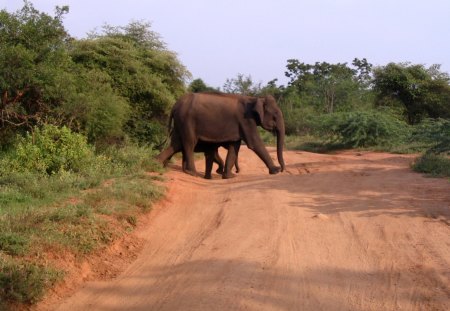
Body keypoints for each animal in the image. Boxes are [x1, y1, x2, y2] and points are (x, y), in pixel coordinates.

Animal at [156, 92, 286, 178]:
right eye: (275, 115)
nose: (282, 169)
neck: (254, 98)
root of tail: (175, 105)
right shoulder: (246, 120)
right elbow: (254, 143)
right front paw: (275, 171)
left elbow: (235, 146)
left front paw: (229, 176)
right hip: (187, 120)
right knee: (189, 143)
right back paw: (193, 173)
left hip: (180, 122)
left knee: (176, 144)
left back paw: (157, 163)